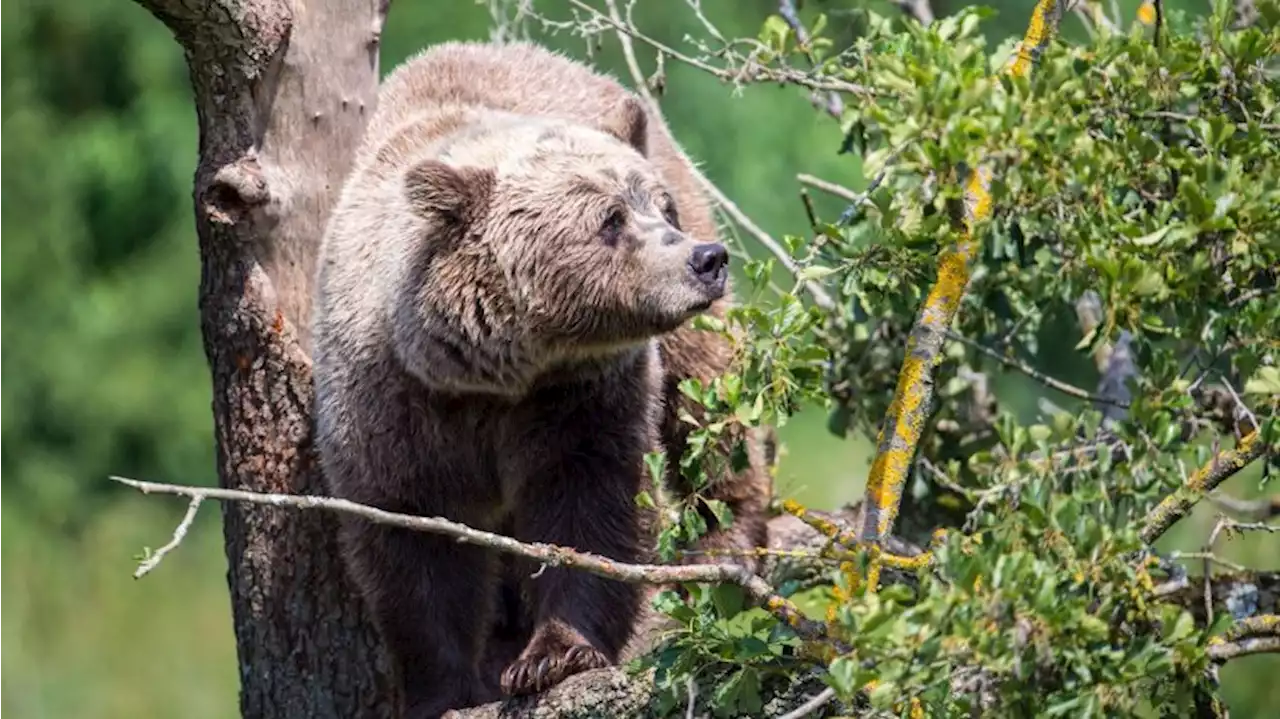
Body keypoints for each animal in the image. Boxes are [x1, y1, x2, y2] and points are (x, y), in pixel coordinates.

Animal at [312, 40, 768, 716]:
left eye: (659, 206)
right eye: (610, 219)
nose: (705, 259)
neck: (496, 372)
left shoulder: (580, 397)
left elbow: (592, 504)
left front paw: (553, 654)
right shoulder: (393, 406)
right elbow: (412, 544)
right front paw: (444, 687)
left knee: (705, 403)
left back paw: (725, 545)